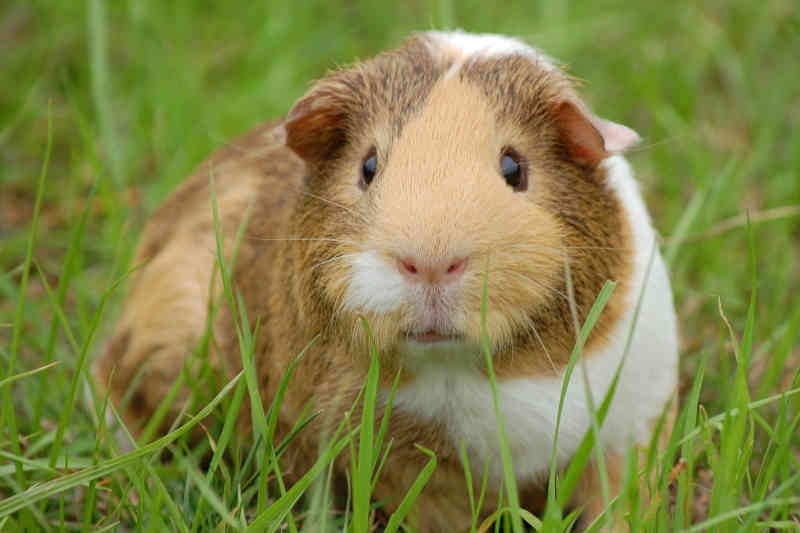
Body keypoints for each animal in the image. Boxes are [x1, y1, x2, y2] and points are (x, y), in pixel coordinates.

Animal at [93, 30, 679, 531]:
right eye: (368, 166)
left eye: (514, 168)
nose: (430, 262)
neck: (478, 369)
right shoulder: (404, 463)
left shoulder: (632, 427)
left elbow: (620, 504)